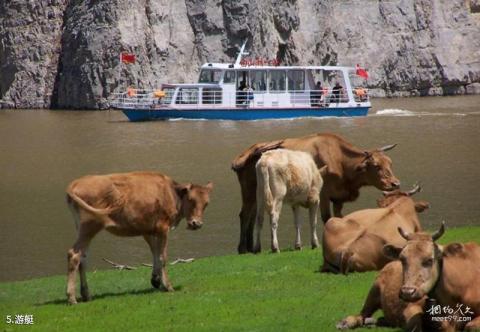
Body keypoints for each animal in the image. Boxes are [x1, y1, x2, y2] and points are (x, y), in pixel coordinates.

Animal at [64, 172, 213, 304]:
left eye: (206, 203)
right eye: (191, 199)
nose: (196, 223)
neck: (171, 192)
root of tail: (75, 183)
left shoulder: (148, 231)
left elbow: (155, 253)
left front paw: (156, 280)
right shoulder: (163, 228)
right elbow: (162, 256)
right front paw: (168, 286)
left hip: (84, 230)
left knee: (83, 257)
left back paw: (86, 295)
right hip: (89, 228)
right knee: (74, 254)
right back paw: (72, 298)